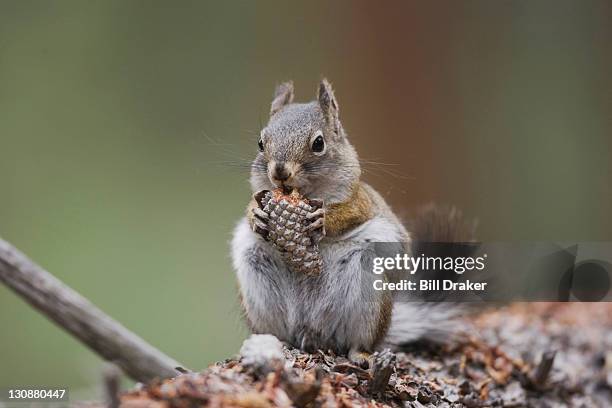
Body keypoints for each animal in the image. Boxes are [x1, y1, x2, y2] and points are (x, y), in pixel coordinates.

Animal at [230, 79, 474, 364]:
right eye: (261, 142)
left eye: (318, 143)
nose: (279, 171)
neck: (305, 194)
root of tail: (313, 333)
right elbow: (253, 204)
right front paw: (255, 214)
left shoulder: (361, 201)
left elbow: (349, 213)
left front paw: (322, 219)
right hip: (257, 280)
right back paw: (278, 342)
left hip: (368, 290)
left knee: (359, 340)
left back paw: (360, 354)